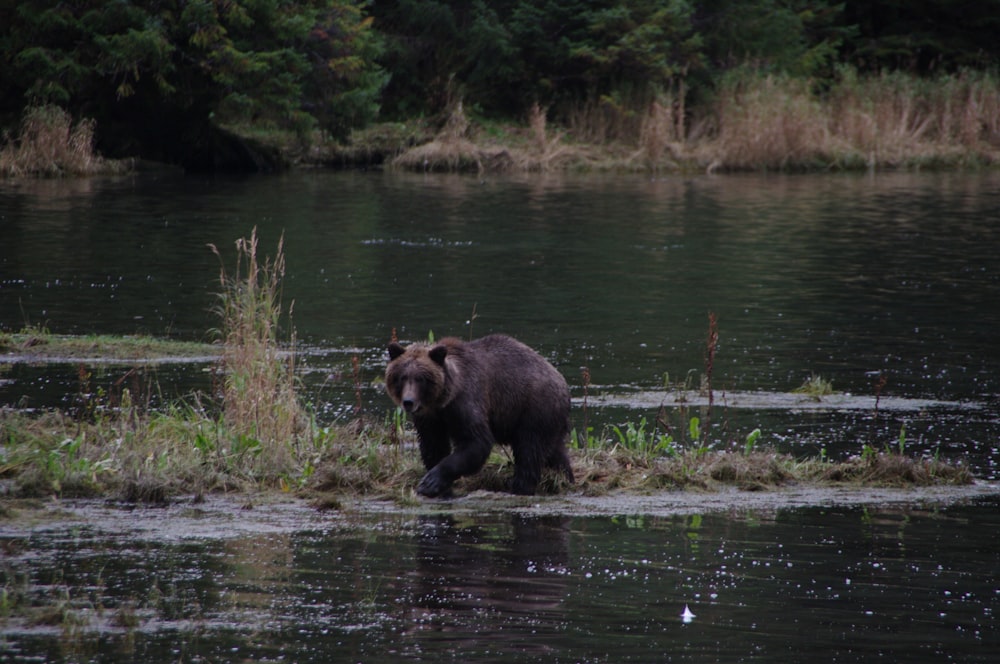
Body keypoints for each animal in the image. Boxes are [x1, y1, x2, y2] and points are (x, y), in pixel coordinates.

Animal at [386, 332, 576, 498]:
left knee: (529, 451)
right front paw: (441, 488)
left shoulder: (466, 402)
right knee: (555, 453)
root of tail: (563, 384)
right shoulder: (430, 419)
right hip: (550, 421)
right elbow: (433, 446)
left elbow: (476, 442)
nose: (408, 402)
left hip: (534, 409)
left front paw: (430, 482)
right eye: (402, 377)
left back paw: (520, 487)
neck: (442, 401)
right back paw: (566, 479)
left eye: (421, 378)